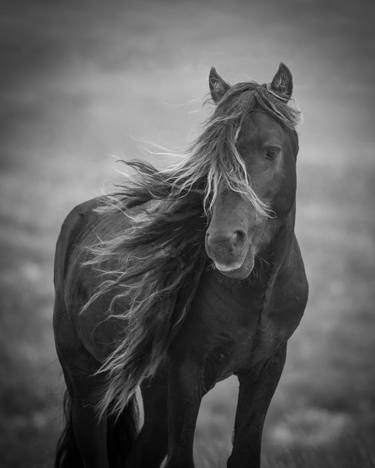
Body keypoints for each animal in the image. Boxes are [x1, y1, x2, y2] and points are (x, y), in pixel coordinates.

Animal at [54, 63, 310, 468]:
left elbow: (244, 452)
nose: (223, 243)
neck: (254, 298)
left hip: (154, 393)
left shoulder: (266, 368)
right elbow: (181, 457)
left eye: (271, 151)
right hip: (88, 385)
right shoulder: (186, 375)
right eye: (211, 158)